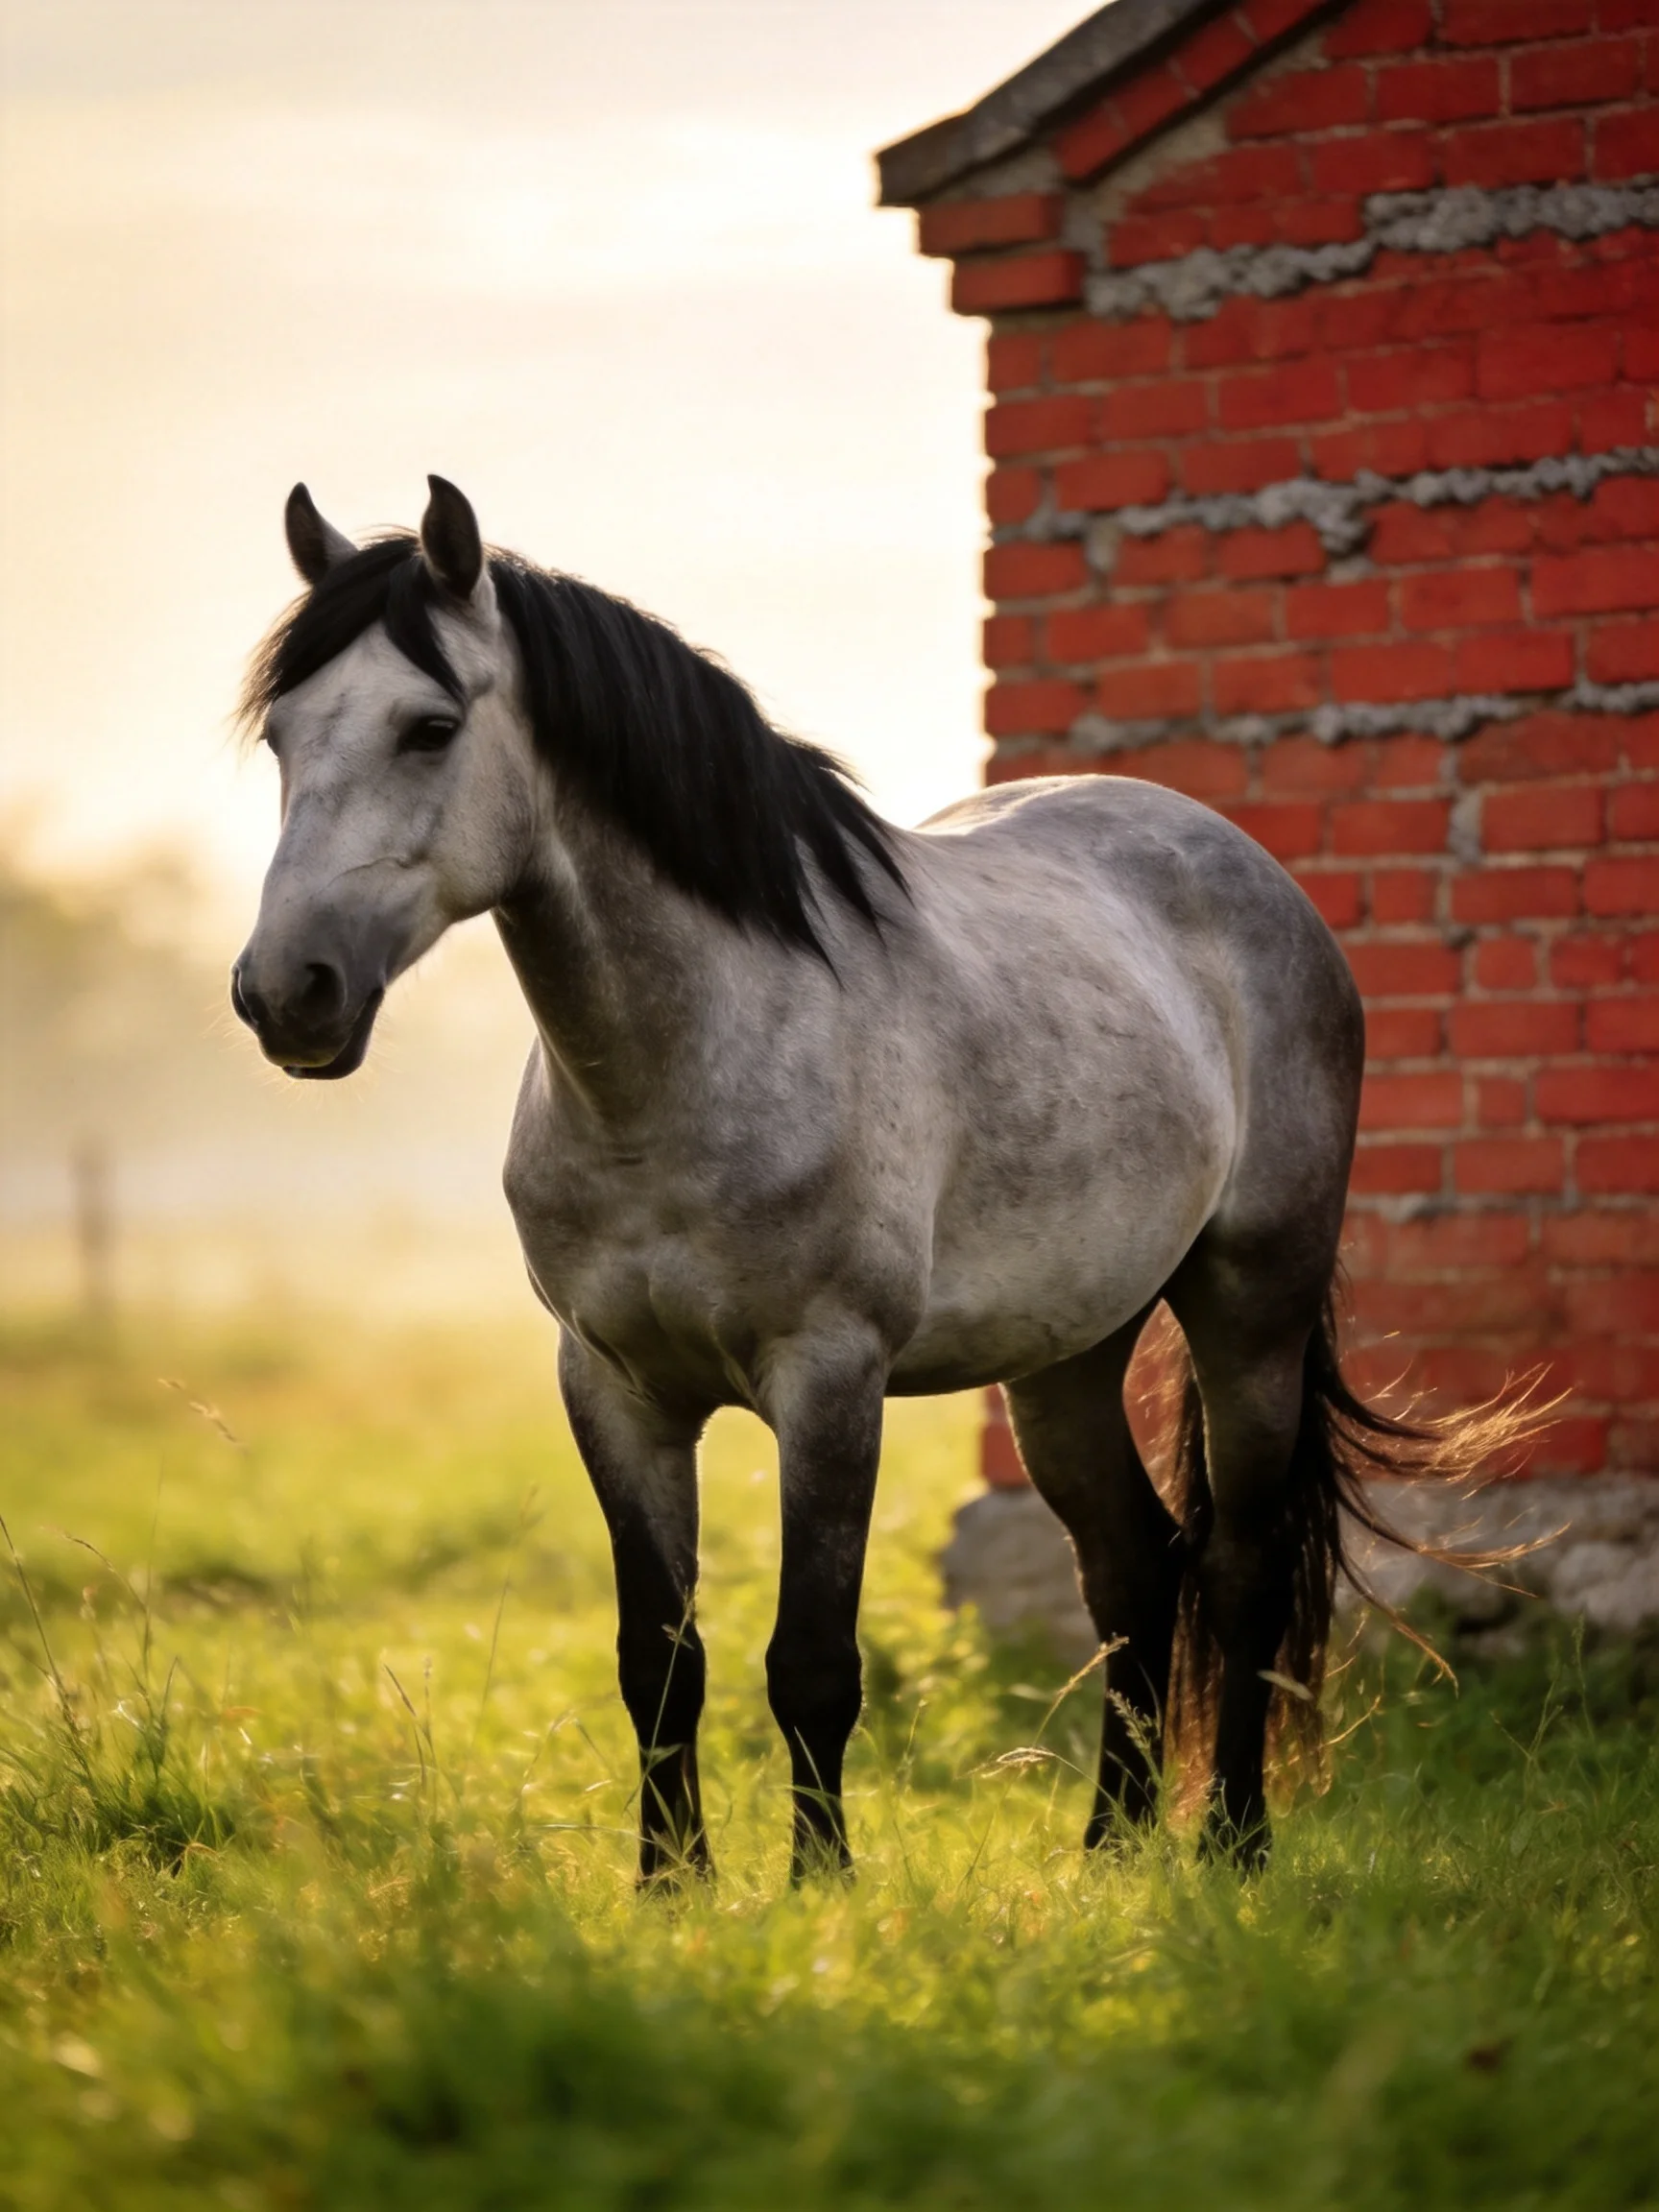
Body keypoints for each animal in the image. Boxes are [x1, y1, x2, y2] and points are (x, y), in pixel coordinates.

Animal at [233, 475, 1514, 1881]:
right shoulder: (613, 1387)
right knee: (1133, 1569)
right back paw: (1108, 1847)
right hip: (1068, 1353)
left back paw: (1232, 1841)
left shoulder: (830, 1380)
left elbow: (811, 1661)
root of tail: (1255, 874)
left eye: (429, 728)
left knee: (1237, 1571)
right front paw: (671, 1887)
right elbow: (657, 1663)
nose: (285, 993)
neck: (685, 1071)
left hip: (1252, 1310)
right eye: (283, 736)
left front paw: (821, 1886)